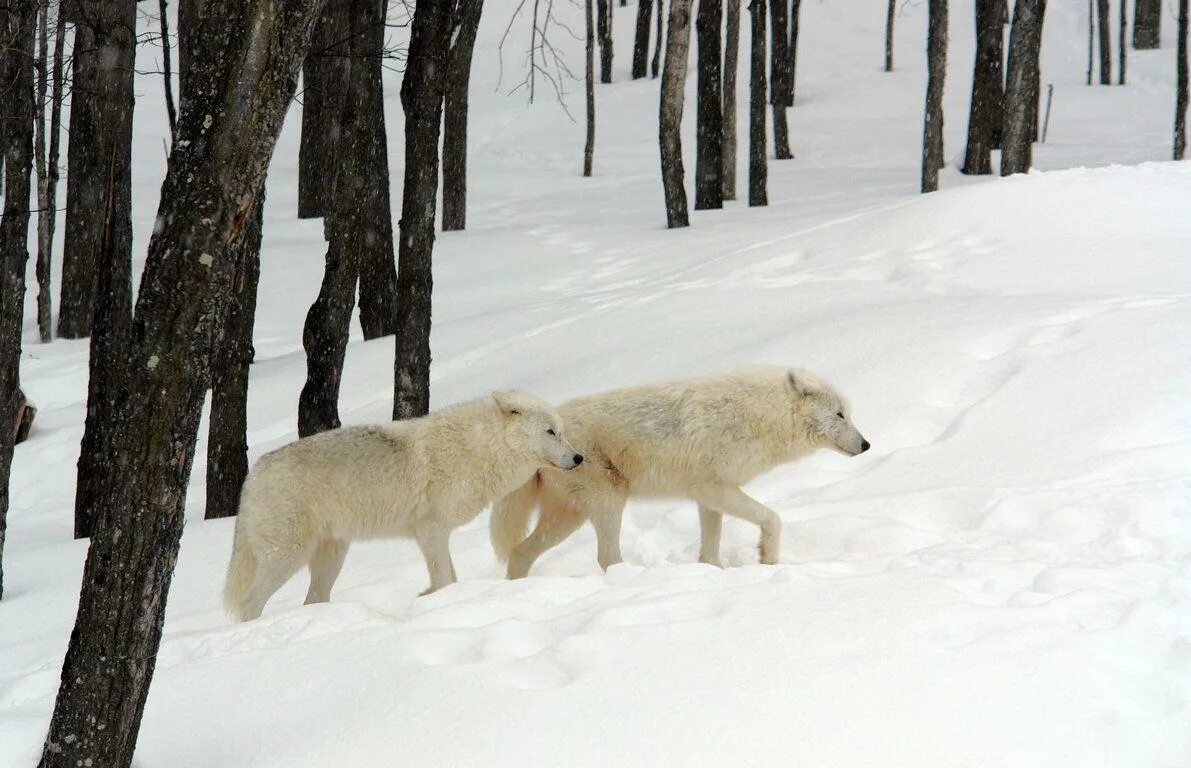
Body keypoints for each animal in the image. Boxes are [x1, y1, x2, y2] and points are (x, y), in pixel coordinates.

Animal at [223, 392, 581, 619]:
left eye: (563, 432)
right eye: (551, 432)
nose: (579, 458)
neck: (477, 449)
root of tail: (252, 477)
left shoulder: (438, 534)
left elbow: (450, 577)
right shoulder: (431, 530)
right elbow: (445, 578)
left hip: (331, 558)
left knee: (312, 600)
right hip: (288, 557)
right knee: (249, 605)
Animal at [488, 364, 871, 576]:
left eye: (849, 414)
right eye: (839, 414)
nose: (867, 445)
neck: (760, 415)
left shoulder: (709, 496)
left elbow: (711, 549)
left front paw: (714, 572)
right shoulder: (713, 488)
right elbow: (773, 518)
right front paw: (768, 558)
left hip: (569, 518)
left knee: (520, 553)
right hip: (608, 503)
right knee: (606, 557)